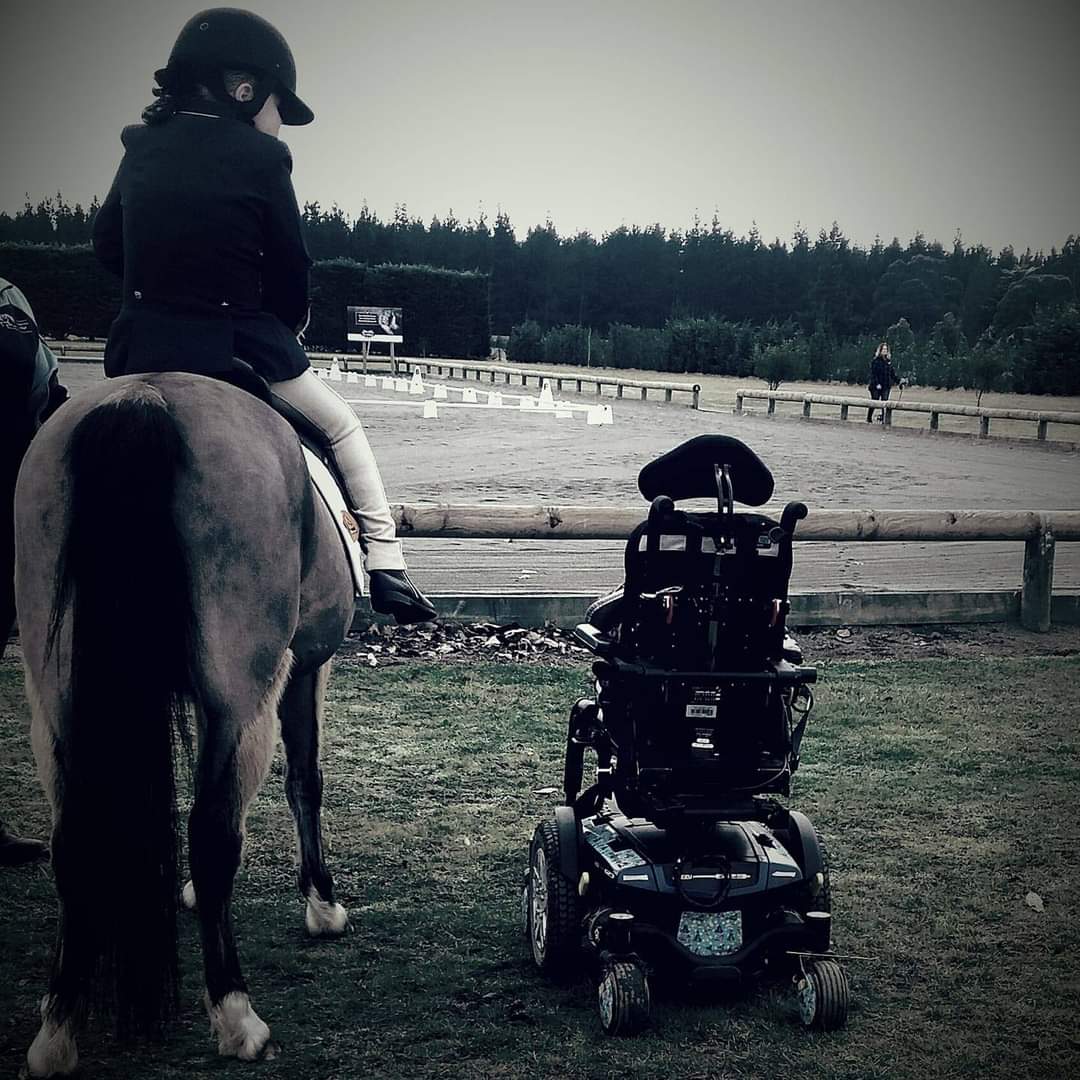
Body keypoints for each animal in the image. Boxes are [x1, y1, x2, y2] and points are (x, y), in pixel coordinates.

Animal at [15, 371, 354, 1071]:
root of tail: (145, 400)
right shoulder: (305, 670)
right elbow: (304, 782)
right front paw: (322, 905)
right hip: (242, 695)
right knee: (214, 833)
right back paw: (237, 1016)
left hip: (56, 697)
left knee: (74, 842)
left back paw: (57, 1030)